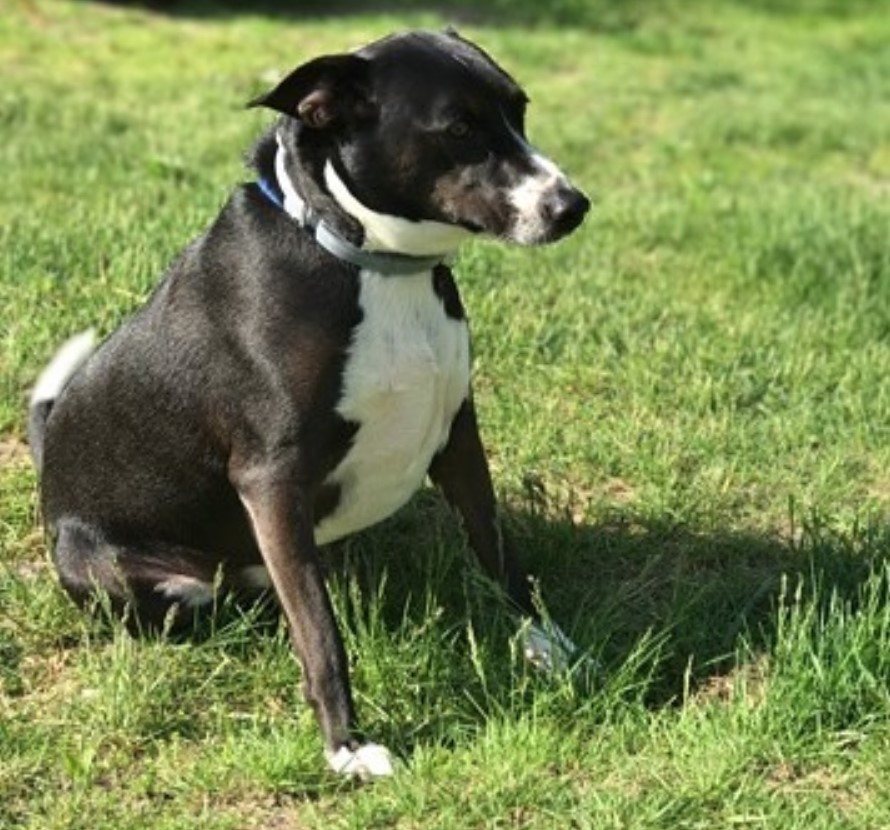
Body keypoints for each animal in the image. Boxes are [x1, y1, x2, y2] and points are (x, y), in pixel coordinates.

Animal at [27, 30, 588, 780]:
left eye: (519, 111)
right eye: (459, 129)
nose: (571, 205)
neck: (369, 262)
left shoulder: (459, 439)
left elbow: (500, 551)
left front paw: (546, 641)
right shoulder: (271, 479)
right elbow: (320, 631)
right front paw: (346, 746)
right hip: (147, 577)